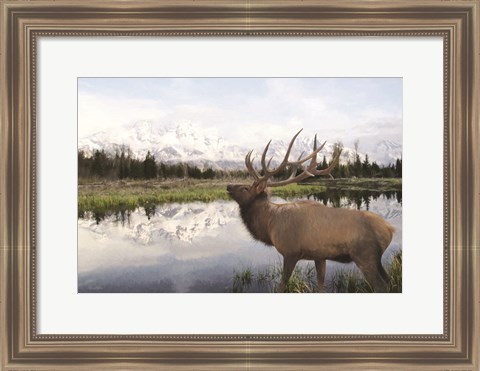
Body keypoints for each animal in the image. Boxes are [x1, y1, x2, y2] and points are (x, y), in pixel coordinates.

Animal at [227, 131, 396, 294]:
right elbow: (321, 286)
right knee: (389, 281)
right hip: (377, 260)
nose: (228, 185)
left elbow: (282, 285)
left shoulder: (290, 252)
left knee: (381, 286)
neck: (270, 225)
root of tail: (390, 229)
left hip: (365, 255)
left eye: (245, 188)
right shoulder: (319, 256)